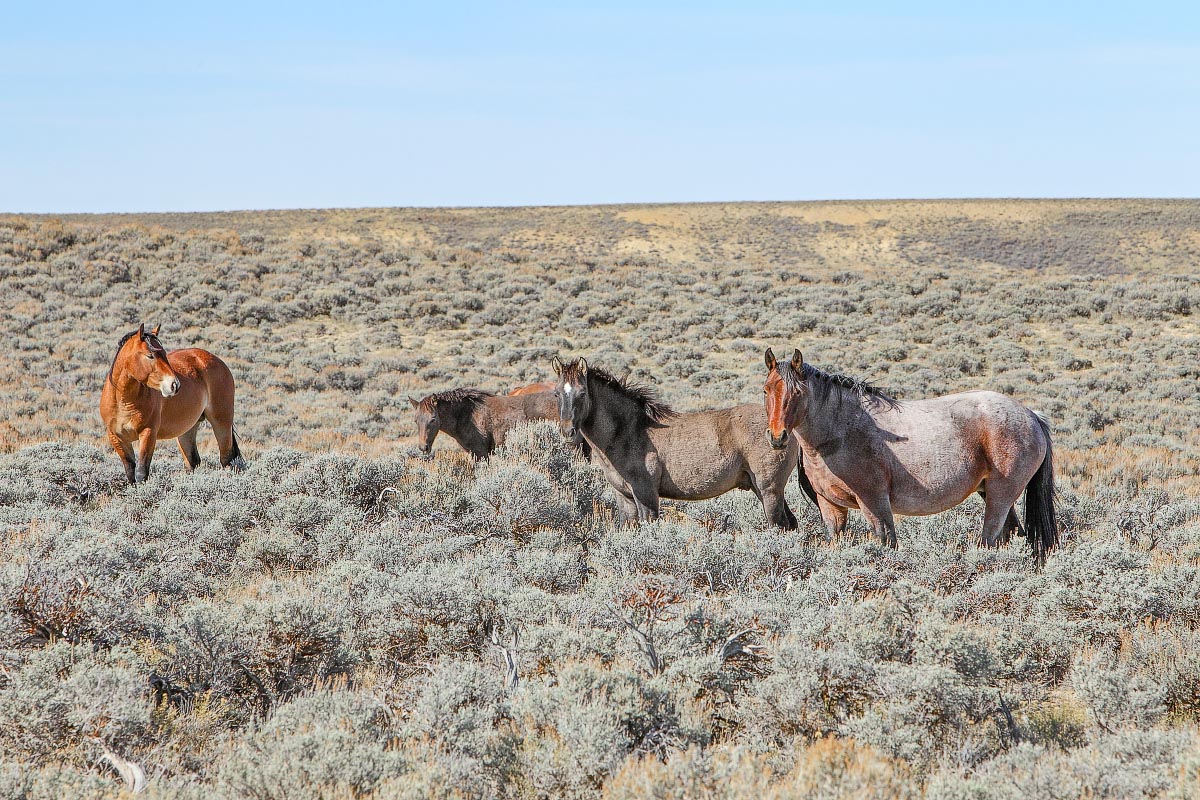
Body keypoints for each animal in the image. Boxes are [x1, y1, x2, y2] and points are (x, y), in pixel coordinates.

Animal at [101, 323, 246, 484]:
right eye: (150, 355)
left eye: (164, 353)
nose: (175, 385)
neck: (124, 402)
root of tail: (216, 360)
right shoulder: (117, 438)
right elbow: (131, 473)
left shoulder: (148, 434)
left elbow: (141, 473)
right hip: (187, 429)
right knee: (192, 462)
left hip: (221, 422)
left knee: (227, 459)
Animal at [554, 357, 801, 532]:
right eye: (556, 393)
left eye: (582, 393)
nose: (568, 431)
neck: (630, 430)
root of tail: (784, 430)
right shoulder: (624, 497)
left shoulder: (646, 496)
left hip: (769, 490)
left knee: (780, 525)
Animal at [763, 347, 1056, 563]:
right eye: (766, 390)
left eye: (797, 392)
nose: (777, 437)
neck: (841, 430)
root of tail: (1031, 415)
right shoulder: (830, 506)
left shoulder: (875, 502)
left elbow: (886, 542)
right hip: (990, 492)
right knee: (1012, 534)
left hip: (1000, 495)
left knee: (991, 537)